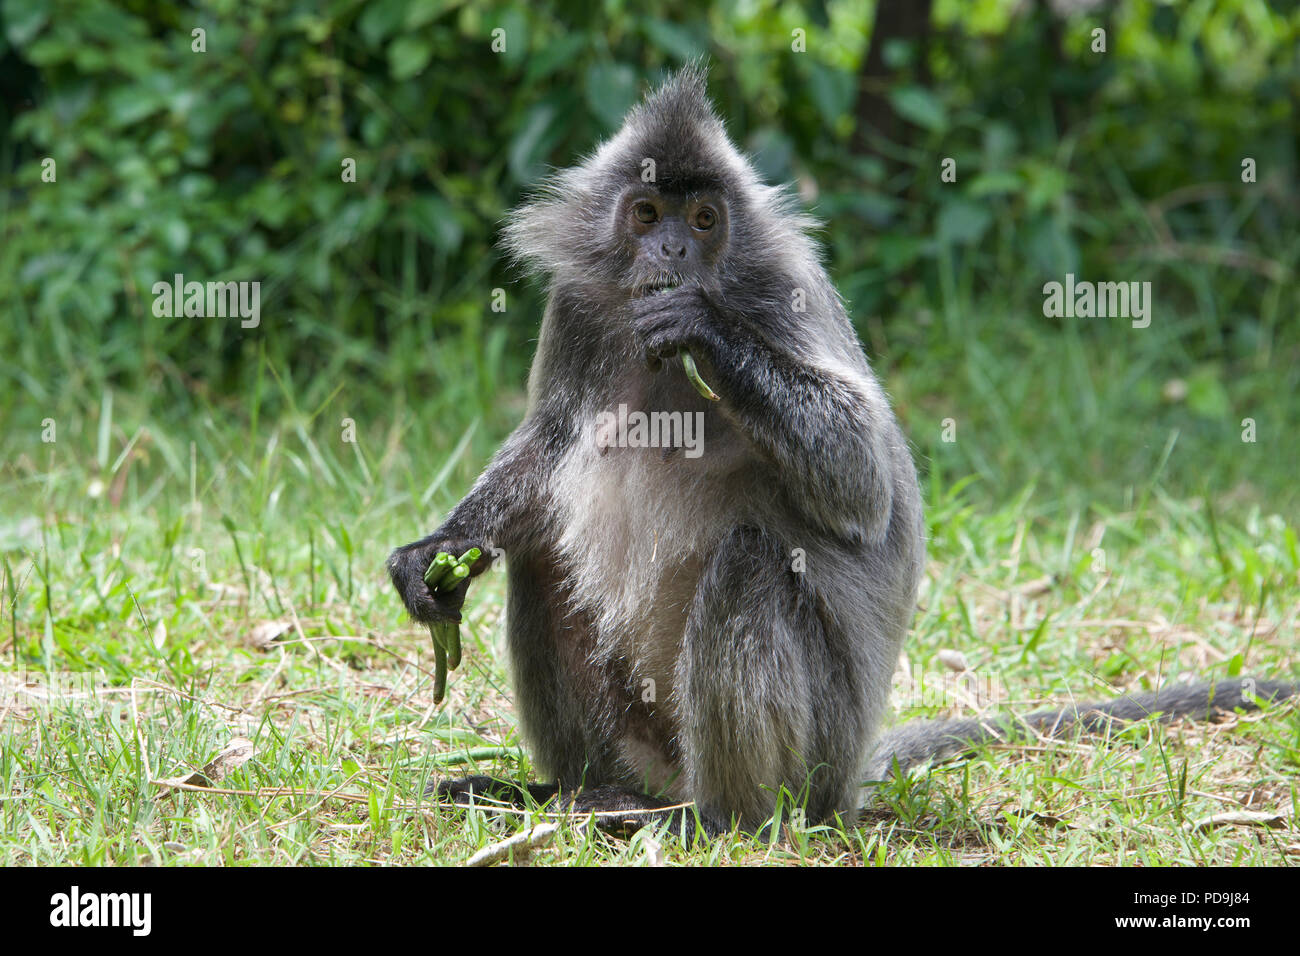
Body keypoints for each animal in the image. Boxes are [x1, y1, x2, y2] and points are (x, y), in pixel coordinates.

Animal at [387, 67, 1300, 842]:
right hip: (649, 737)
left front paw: (703, 329)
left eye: (705, 221)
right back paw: (576, 792)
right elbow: (550, 441)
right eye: (648, 215)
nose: (675, 255)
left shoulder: (779, 287)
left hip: (815, 752)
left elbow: (865, 483)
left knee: (750, 561)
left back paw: (718, 821)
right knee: (544, 553)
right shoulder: (581, 304)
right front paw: (437, 553)